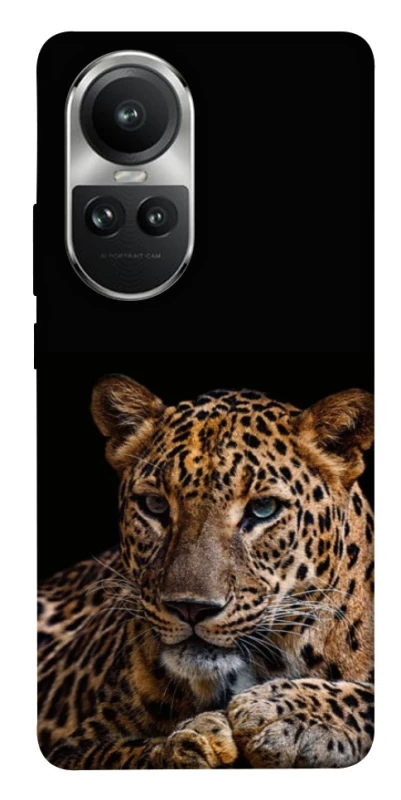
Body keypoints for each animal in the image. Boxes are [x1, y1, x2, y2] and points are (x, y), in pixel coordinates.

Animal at [38, 375, 374, 769]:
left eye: (263, 508)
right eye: (155, 505)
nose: (190, 608)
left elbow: (367, 697)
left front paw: (284, 712)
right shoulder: (75, 748)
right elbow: (126, 755)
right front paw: (193, 743)